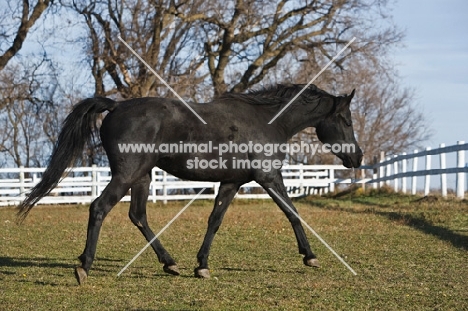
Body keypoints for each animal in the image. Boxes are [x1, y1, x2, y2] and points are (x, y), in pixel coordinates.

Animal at [17, 84, 362, 284]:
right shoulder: (268, 177)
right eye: (346, 120)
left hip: (142, 177)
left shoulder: (232, 182)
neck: (266, 121)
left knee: (138, 216)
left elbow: (215, 220)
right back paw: (84, 267)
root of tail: (115, 106)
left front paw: (201, 265)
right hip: (127, 175)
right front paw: (310, 256)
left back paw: (170, 264)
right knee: (99, 208)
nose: (357, 157)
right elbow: (292, 213)